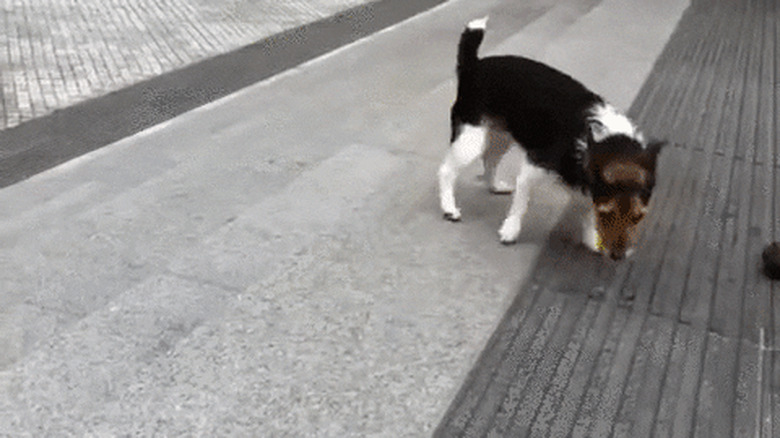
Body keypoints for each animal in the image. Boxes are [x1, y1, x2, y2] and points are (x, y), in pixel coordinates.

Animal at [438, 18, 664, 260]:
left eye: (638, 217)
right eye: (607, 213)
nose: (618, 256)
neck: (597, 138)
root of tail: (474, 64)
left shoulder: (586, 188)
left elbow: (587, 215)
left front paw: (591, 240)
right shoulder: (531, 170)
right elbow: (520, 207)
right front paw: (510, 230)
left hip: (501, 137)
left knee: (490, 161)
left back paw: (495, 186)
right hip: (470, 140)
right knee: (446, 171)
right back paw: (449, 208)